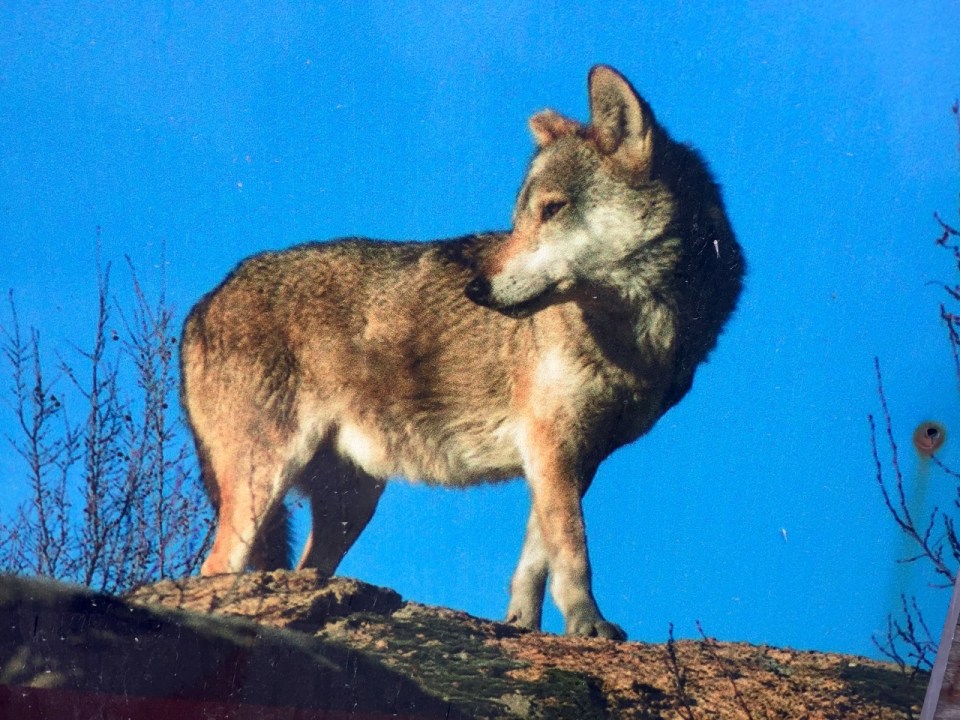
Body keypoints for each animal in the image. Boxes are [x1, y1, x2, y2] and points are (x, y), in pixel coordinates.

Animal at [181, 65, 744, 640]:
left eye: (552, 209)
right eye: (519, 218)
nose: (475, 289)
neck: (638, 334)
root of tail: (203, 303)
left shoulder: (571, 457)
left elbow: (535, 559)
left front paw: (521, 625)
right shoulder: (551, 445)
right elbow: (573, 551)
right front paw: (589, 624)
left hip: (352, 502)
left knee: (303, 567)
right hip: (265, 481)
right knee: (214, 567)